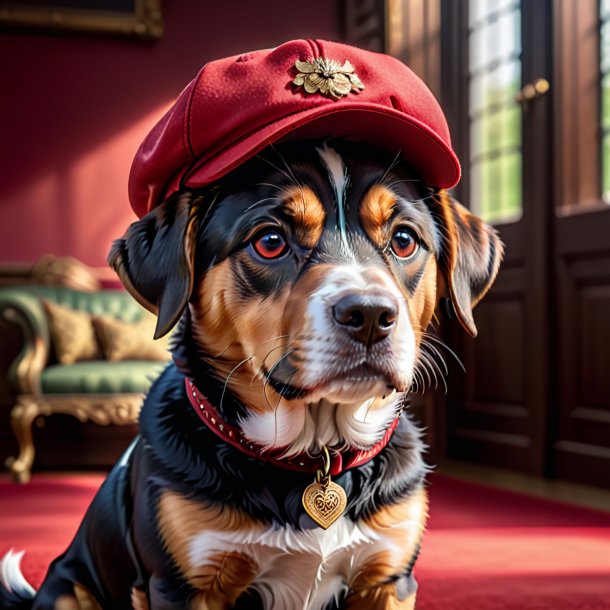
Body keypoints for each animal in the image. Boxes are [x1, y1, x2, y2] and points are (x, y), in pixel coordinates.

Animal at [0, 40, 498, 604]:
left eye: (405, 240)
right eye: (270, 240)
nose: (371, 315)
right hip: (68, 586)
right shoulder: (185, 584)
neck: (313, 458)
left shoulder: (387, 580)